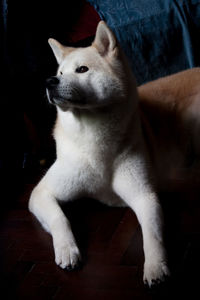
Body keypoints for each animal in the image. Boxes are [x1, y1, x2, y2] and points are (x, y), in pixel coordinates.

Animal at [29, 20, 173, 286]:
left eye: (82, 69)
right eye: (60, 73)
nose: (49, 81)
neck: (94, 142)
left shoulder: (145, 196)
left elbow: (153, 236)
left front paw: (155, 266)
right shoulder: (41, 193)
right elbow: (59, 218)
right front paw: (67, 249)